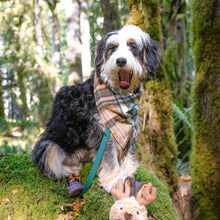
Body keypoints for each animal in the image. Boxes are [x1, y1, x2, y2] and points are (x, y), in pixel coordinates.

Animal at [31, 25, 160, 192]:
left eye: (132, 46)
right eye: (113, 47)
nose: (120, 61)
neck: (119, 95)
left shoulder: (128, 126)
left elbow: (126, 151)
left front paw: (128, 170)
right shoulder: (102, 130)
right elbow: (109, 158)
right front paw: (114, 180)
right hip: (49, 145)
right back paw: (71, 169)